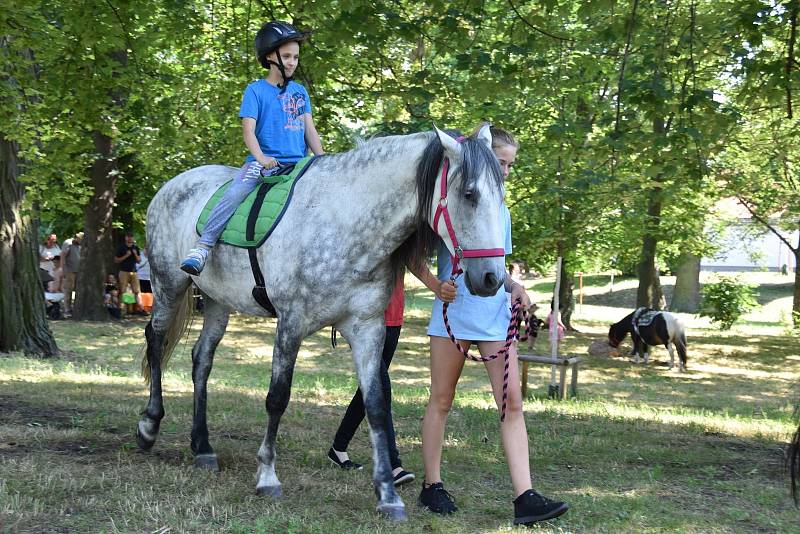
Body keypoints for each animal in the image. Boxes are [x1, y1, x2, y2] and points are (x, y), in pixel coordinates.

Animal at [137, 124, 506, 520]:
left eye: (501, 195)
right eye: (469, 194)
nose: (492, 278)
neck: (344, 221)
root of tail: (173, 184)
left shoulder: (367, 328)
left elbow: (376, 405)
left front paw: (388, 494)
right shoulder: (291, 322)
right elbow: (277, 398)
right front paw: (267, 476)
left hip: (218, 302)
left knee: (201, 360)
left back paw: (202, 446)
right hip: (168, 285)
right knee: (155, 342)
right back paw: (149, 425)